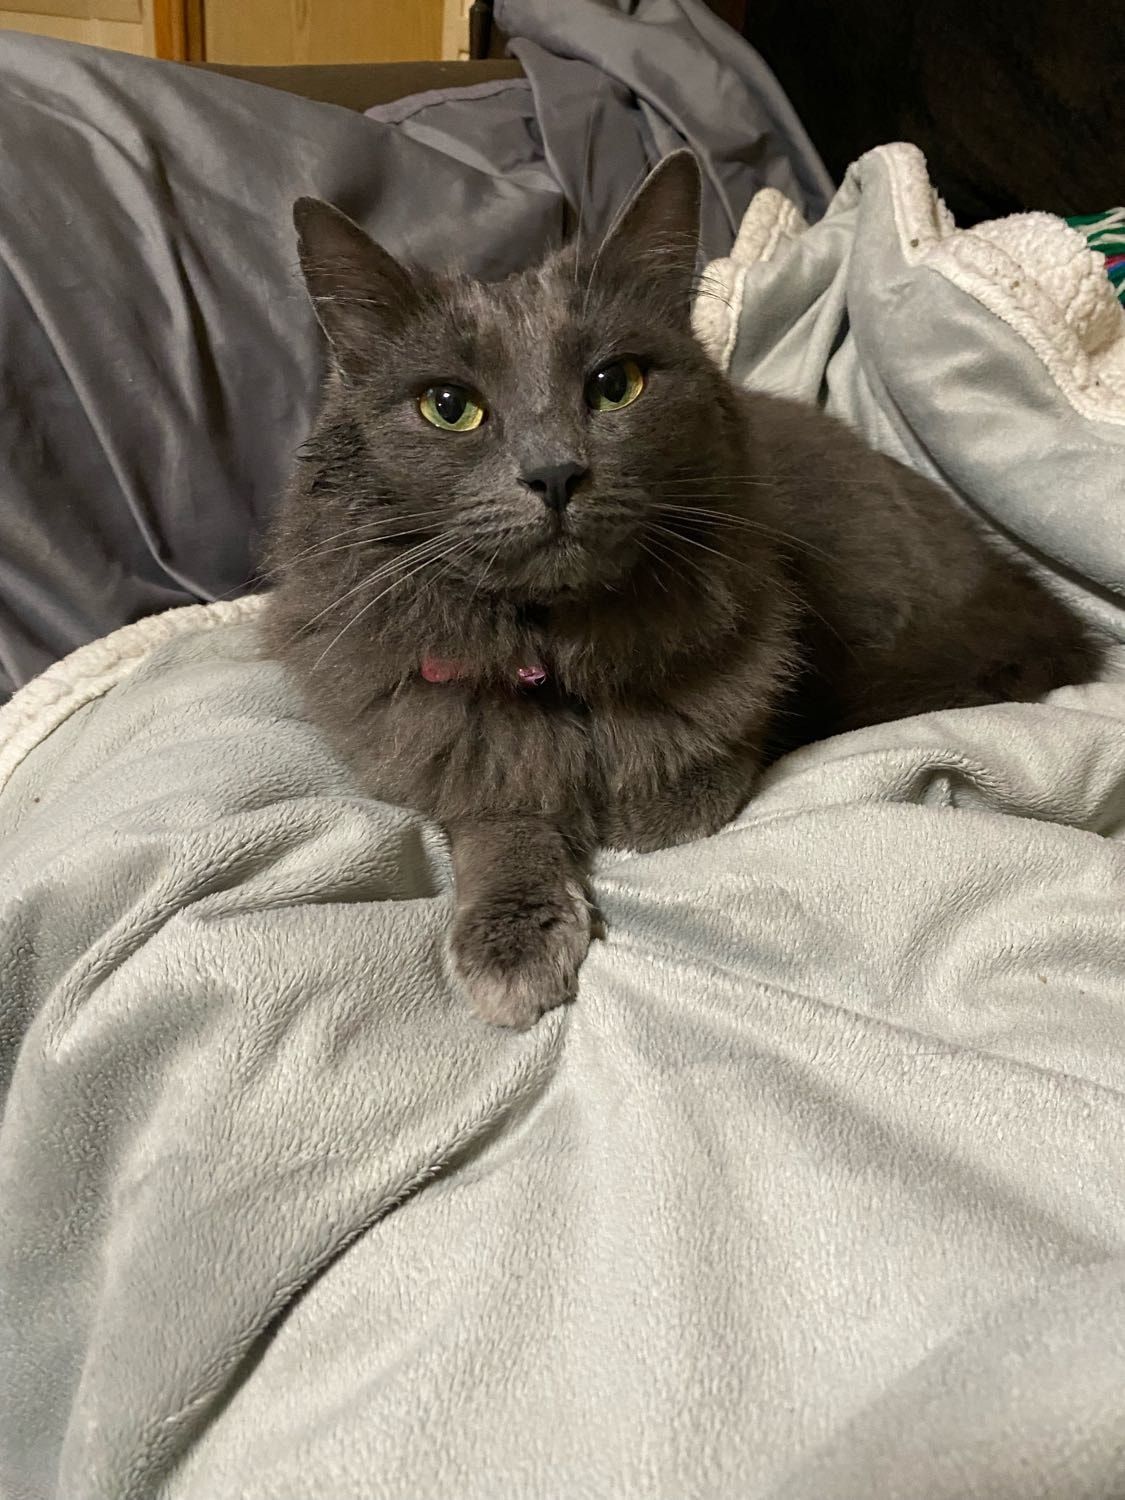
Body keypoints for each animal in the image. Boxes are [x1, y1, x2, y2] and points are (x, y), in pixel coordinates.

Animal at [263, 151, 1102, 1029]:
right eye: (449, 406)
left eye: (615, 384)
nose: (554, 473)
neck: (559, 651)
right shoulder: (441, 735)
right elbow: (502, 815)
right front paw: (513, 943)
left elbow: (694, 762)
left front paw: (647, 801)